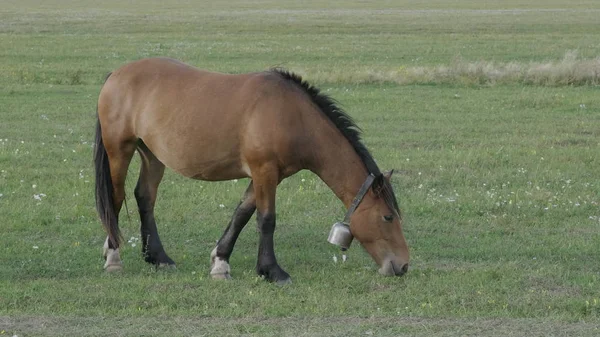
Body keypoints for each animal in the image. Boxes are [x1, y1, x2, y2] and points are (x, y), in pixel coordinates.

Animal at [95, 58, 408, 284]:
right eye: (388, 217)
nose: (403, 265)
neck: (292, 115)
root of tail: (117, 74)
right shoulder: (264, 172)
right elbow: (266, 220)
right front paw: (272, 271)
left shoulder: (267, 176)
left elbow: (241, 214)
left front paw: (221, 263)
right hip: (119, 151)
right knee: (116, 198)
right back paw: (113, 258)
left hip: (152, 155)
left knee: (145, 197)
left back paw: (159, 257)